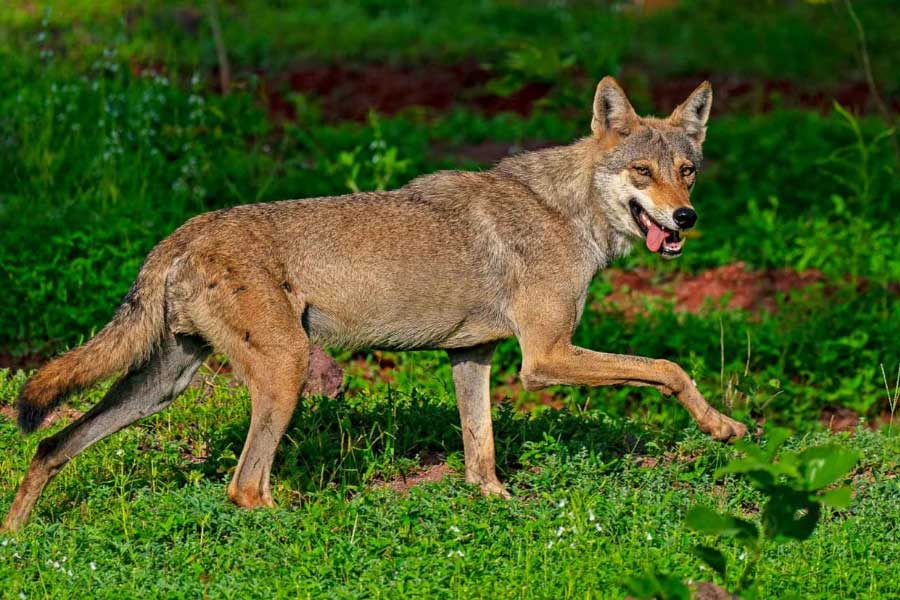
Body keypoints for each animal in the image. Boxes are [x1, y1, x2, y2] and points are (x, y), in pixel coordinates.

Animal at [3, 77, 747, 531]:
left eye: (687, 171)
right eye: (642, 173)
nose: (685, 218)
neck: (566, 214)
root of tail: (182, 232)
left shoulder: (473, 358)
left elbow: (481, 455)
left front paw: (497, 506)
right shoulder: (544, 359)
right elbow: (668, 369)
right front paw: (724, 428)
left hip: (160, 387)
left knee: (51, 445)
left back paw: (18, 538)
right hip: (285, 373)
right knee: (246, 489)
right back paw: (313, 520)